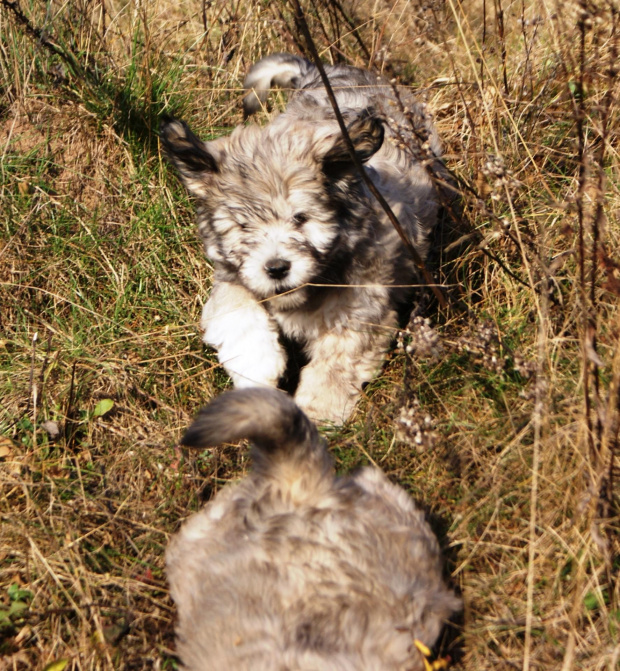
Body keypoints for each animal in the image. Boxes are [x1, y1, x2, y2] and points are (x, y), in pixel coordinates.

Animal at [162, 52, 448, 422]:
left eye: (301, 219)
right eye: (243, 227)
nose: (276, 268)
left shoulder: (360, 311)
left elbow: (337, 364)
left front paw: (317, 415)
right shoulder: (232, 277)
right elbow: (237, 315)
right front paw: (257, 369)